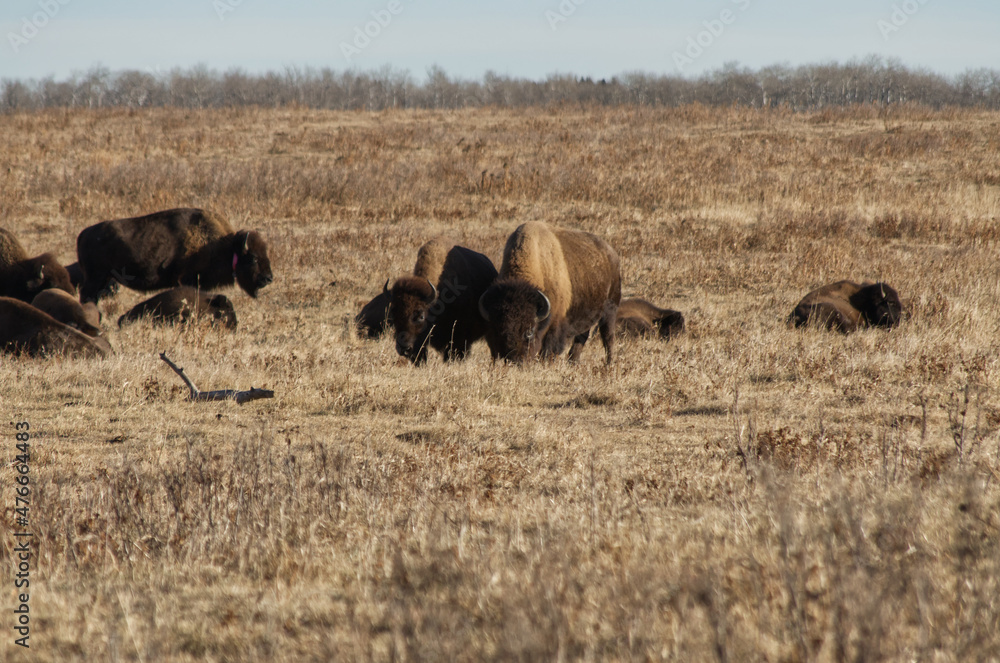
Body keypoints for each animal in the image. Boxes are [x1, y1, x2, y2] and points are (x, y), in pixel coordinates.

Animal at [76, 208, 273, 303]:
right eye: (254, 258)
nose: (268, 278)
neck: (225, 245)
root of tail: (83, 234)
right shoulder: (188, 280)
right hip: (95, 279)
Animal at [478, 221, 620, 364]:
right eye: (498, 329)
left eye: (530, 331)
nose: (515, 360)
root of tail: (611, 253)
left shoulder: (555, 325)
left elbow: (548, 350)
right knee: (582, 338)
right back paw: (573, 362)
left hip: (610, 310)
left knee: (608, 337)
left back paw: (608, 364)